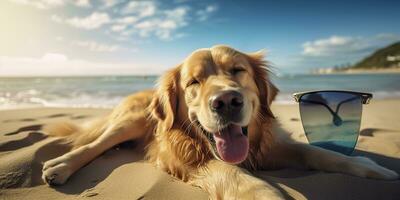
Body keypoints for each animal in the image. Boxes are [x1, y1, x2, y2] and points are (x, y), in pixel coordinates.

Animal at [42, 45, 398, 200]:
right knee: (94, 144)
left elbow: (319, 153)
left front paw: (372, 167)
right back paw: (60, 165)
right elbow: (238, 176)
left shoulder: (270, 144)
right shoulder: (192, 161)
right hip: (131, 119)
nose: (226, 101)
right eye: (193, 82)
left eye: (237, 71)